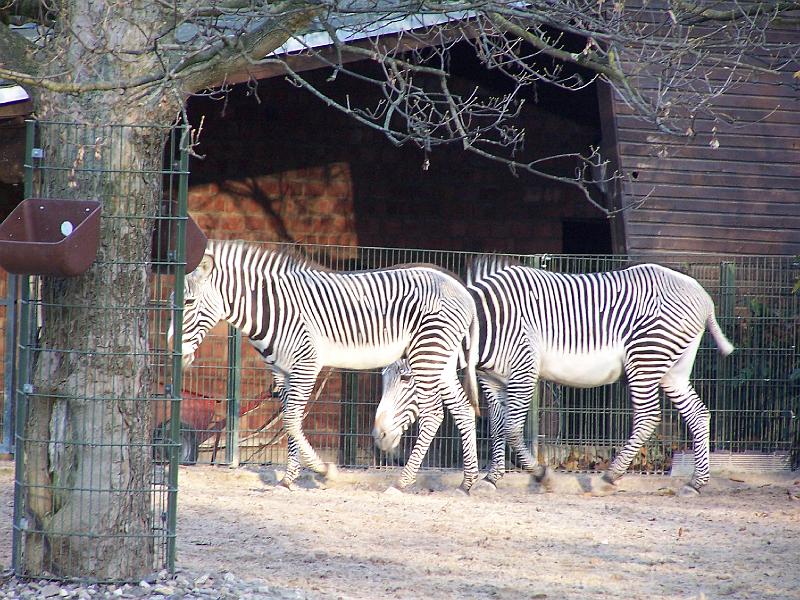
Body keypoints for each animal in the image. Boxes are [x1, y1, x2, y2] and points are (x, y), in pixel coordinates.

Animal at [170, 239, 481, 492]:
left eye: (189, 301)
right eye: (172, 300)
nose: (174, 351)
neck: (272, 309)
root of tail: (462, 290)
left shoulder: (306, 365)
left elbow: (291, 421)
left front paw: (323, 470)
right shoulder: (281, 373)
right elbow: (291, 422)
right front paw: (289, 478)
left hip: (426, 355)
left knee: (433, 414)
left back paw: (404, 482)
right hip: (443, 359)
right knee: (463, 409)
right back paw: (467, 482)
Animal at [378, 258, 734, 495]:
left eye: (407, 379)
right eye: (384, 376)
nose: (379, 436)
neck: (485, 324)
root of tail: (702, 295)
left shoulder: (523, 371)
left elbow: (512, 430)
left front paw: (540, 475)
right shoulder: (493, 379)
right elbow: (496, 427)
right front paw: (492, 479)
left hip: (645, 359)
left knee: (648, 417)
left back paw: (608, 478)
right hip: (673, 369)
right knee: (698, 414)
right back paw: (696, 483)